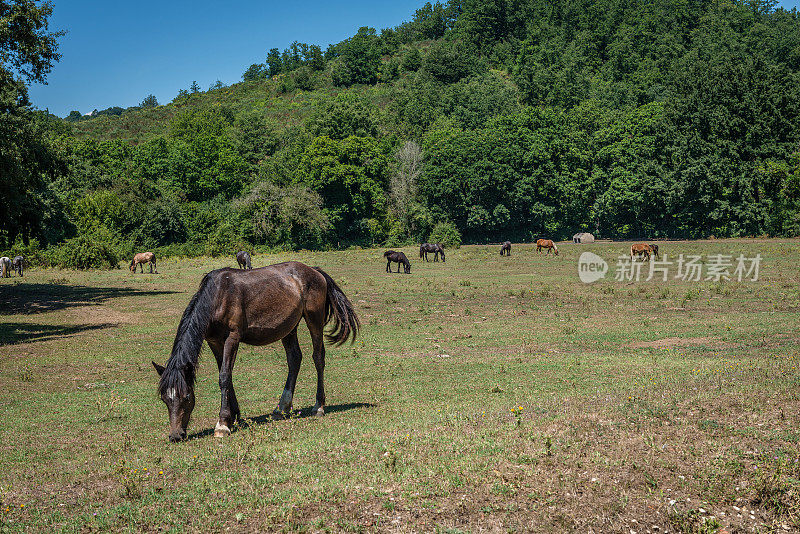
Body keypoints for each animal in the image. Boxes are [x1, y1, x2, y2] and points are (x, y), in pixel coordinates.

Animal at [153, 262, 360, 444]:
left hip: (314, 319)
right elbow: (226, 375)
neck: (218, 297)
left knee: (318, 358)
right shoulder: (214, 341)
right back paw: (281, 408)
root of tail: (314, 271)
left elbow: (224, 376)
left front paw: (222, 424)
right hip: (289, 328)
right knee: (294, 359)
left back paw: (319, 406)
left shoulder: (232, 338)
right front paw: (234, 416)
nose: (176, 436)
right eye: (164, 399)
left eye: (187, 397)